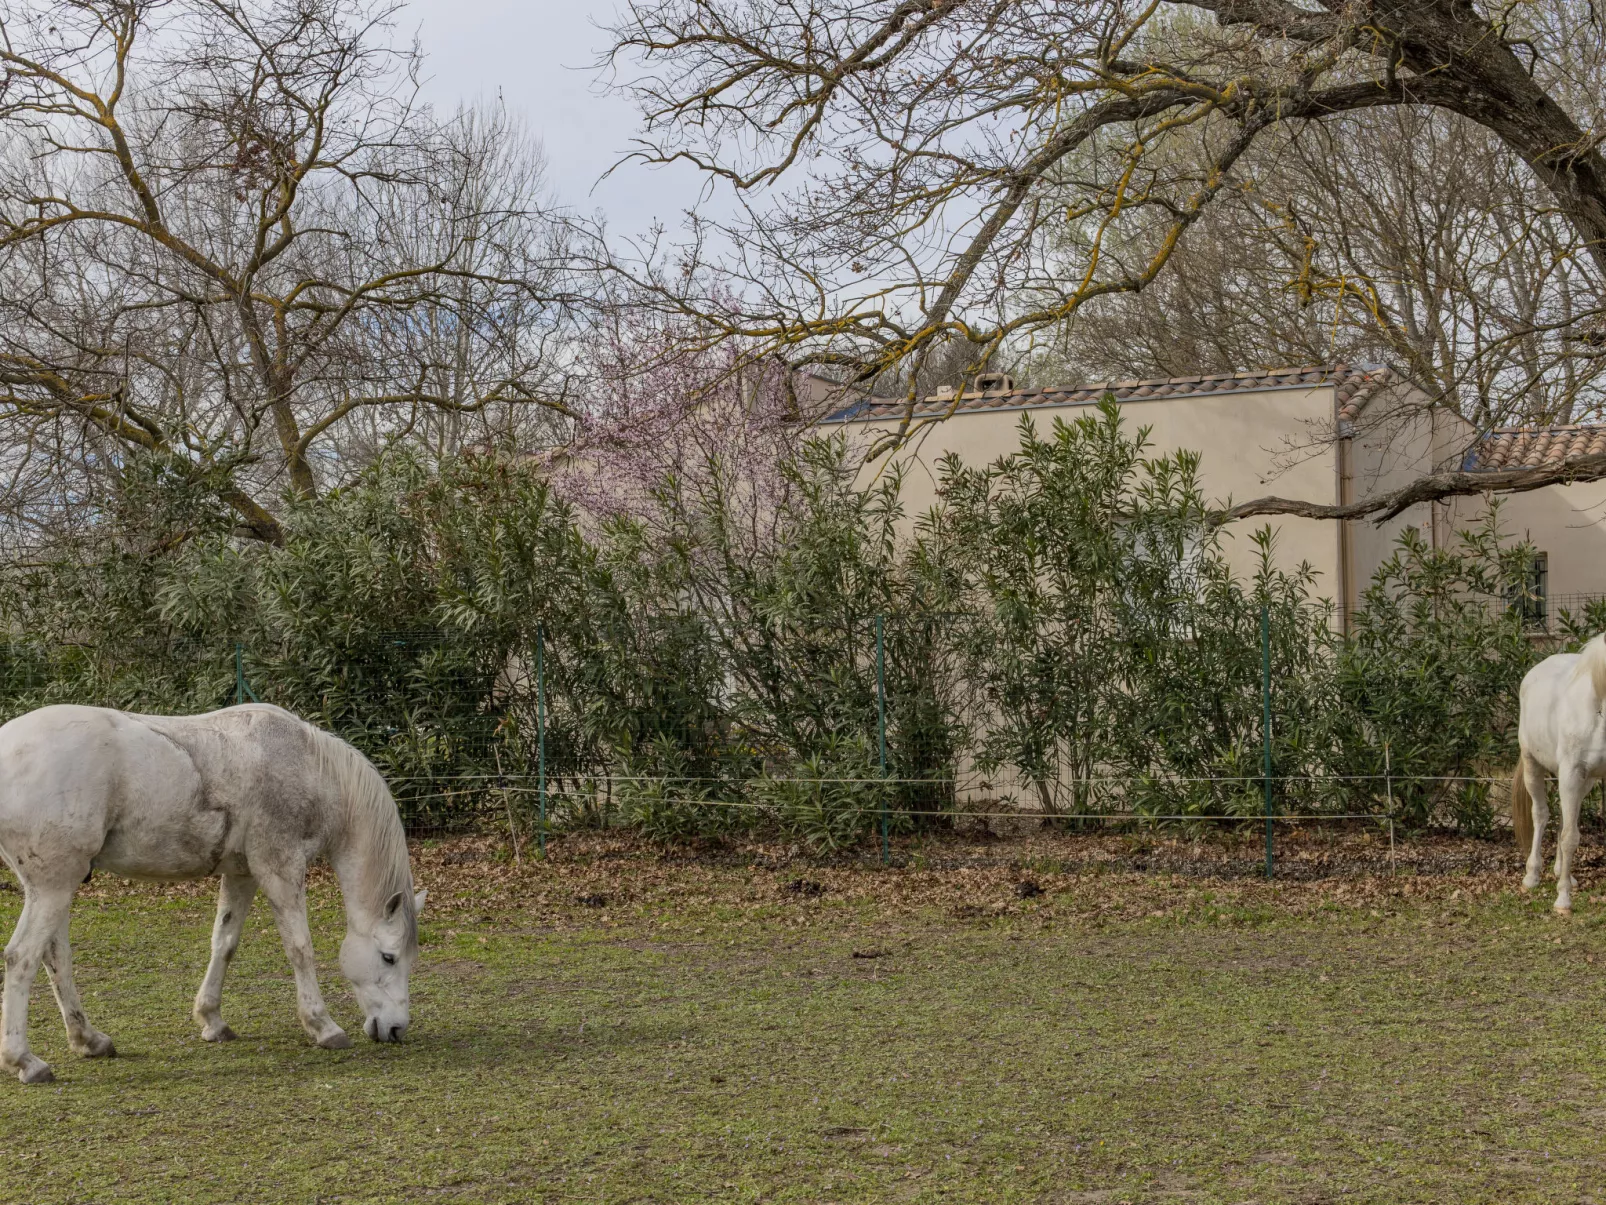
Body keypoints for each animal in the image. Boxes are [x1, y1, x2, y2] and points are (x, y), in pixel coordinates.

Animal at [0, 697, 427, 1086]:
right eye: (389, 957)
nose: (396, 1029)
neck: (307, 765)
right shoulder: (281, 867)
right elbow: (300, 948)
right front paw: (323, 1026)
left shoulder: (242, 874)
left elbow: (224, 942)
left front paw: (212, 1020)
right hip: (53, 886)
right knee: (21, 957)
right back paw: (26, 1061)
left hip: (56, 888)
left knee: (55, 959)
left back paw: (88, 1040)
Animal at [1509, 636, 1606, 912]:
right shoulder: (1571, 773)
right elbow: (1570, 837)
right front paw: (1563, 900)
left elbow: (1567, 833)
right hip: (1534, 766)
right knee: (1541, 815)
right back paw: (1533, 875)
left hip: (1583, 782)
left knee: (1564, 820)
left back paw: (1563, 872)